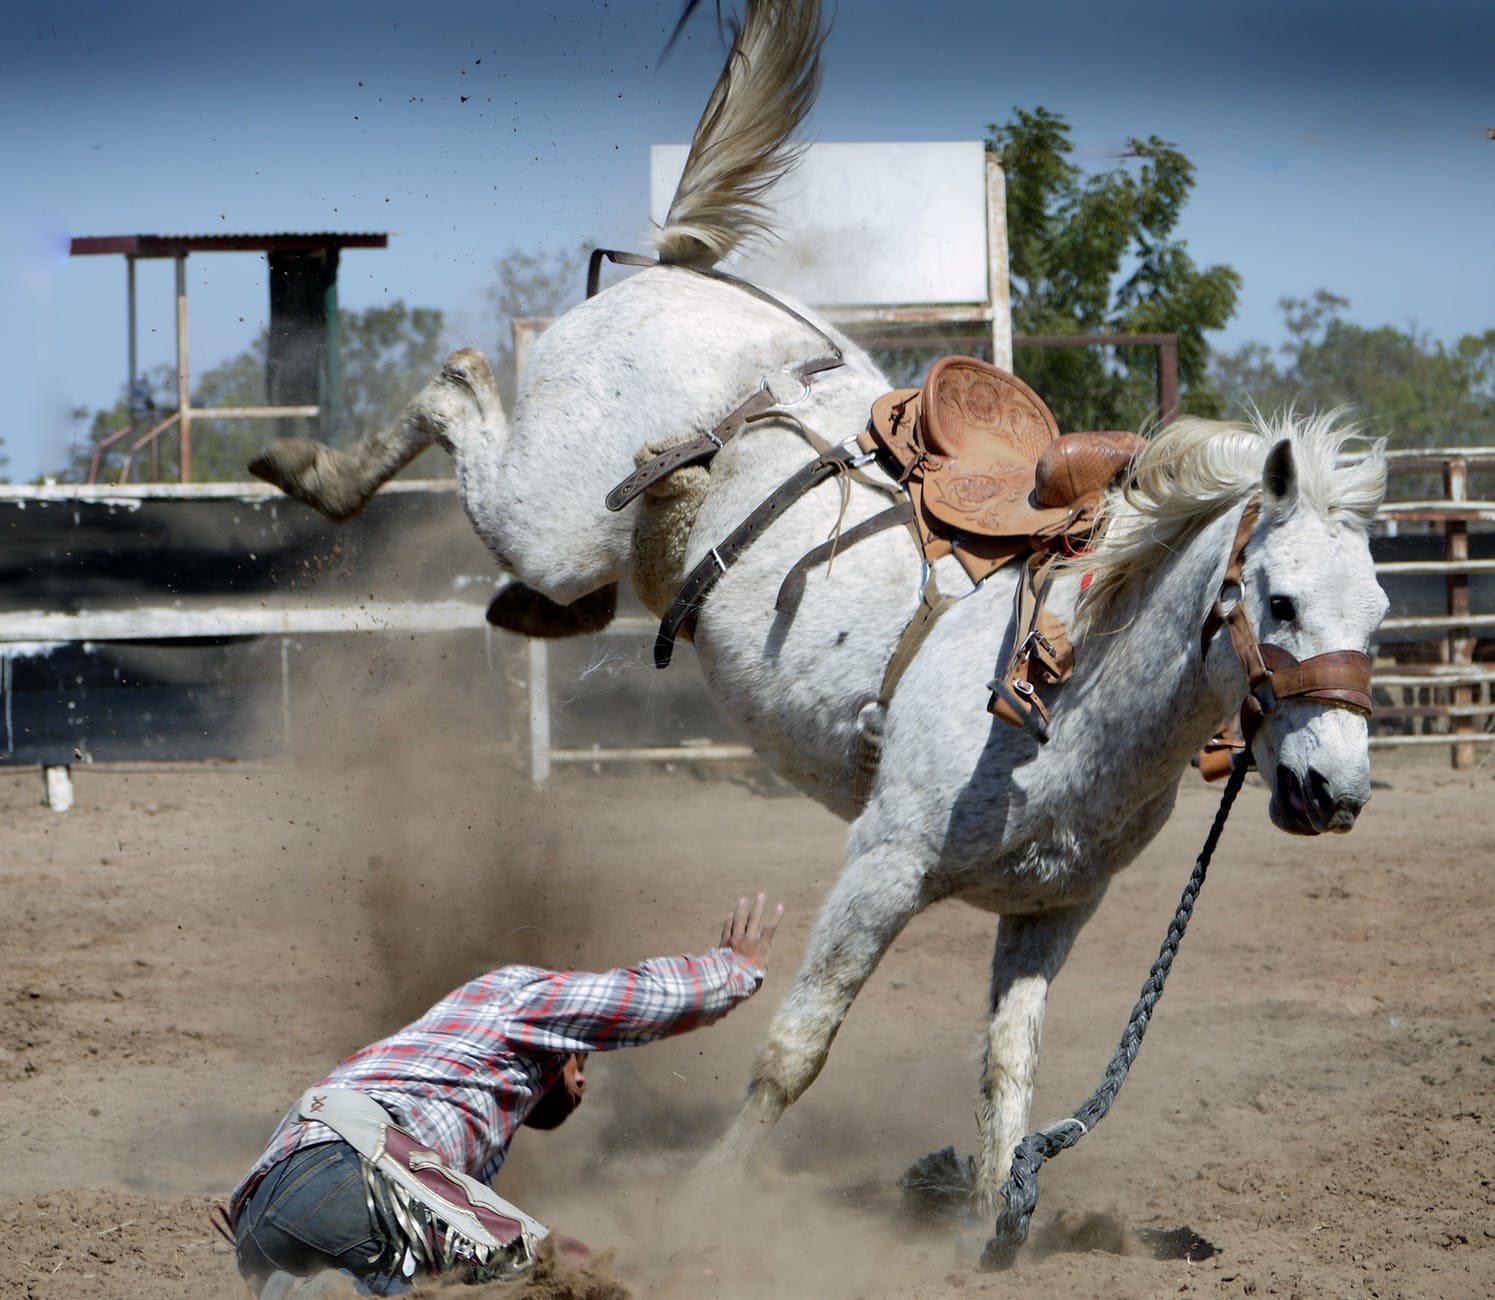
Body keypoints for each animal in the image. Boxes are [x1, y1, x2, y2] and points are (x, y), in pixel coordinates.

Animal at [250, 0, 1388, 1233]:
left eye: (1379, 614)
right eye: (1278, 599)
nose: (1334, 792)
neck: (1072, 686)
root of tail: (679, 274)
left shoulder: (1052, 910)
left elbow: (1006, 1075)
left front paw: (990, 1225)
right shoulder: (880, 867)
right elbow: (796, 1048)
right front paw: (708, 1200)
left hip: (586, 546)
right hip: (544, 511)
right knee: (455, 384)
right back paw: (309, 469)